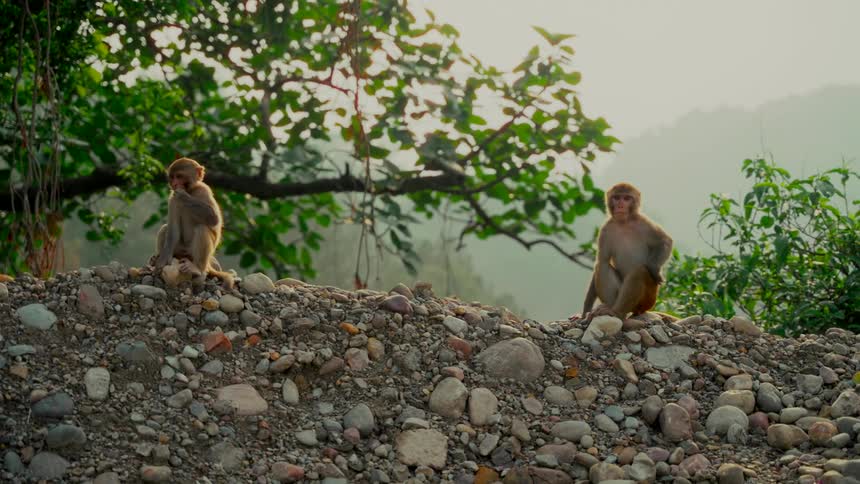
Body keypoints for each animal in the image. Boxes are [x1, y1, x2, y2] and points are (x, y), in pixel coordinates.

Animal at [151, 157, 234, 289]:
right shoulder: (172, 199)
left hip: (194, 254)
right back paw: (157, 258)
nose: (175, 184)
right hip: (180, 251)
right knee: (165, 228)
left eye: (179, 176)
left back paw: (197, 268)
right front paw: (162, 261)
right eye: (172, 177)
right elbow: (173, 229)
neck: (191, 191)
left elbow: (214, 218)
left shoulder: (204, 189)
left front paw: (183, 196)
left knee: (202, 229)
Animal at [581, 182, 673, 321]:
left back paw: (617, 312)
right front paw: (584, 311)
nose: (620, 205)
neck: (624, 222)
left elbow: (665, 241)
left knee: (640, 271)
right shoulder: (605, 229)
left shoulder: (643, 222)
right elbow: (602, 260)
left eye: (627, 198)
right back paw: (610, 309)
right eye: (617, 197)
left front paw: (654, 269)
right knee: (602, 265)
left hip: (648, 300)